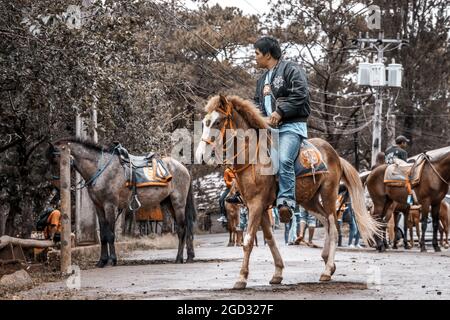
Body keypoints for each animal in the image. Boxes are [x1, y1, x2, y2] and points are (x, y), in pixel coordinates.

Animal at [46, 138, 196, 268]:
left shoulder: (110, 205)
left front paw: (112, 260)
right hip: (168, 203)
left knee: (182, 229)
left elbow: (111, 234)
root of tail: (183, 167)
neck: (100, 168)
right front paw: (102, 261)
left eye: (56, 160)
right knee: (186, 227)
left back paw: (179, 258)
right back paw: (189, 256)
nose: (55, 187)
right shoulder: (99, 207)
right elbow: (103, 235)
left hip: (178, 203)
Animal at [195, 95, 382, 290]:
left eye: (217, 122)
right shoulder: (260, 208)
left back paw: (327, 269)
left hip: (329, 195)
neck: (253, 159)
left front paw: (241, 278)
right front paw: (277, 272)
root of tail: (335, 155)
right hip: (309, 200)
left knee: (333, 227)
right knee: (325, 222)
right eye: (205, 122)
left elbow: (247, 241)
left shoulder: (256, 205)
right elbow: (269, 239)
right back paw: (327, 263)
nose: (200, 155)